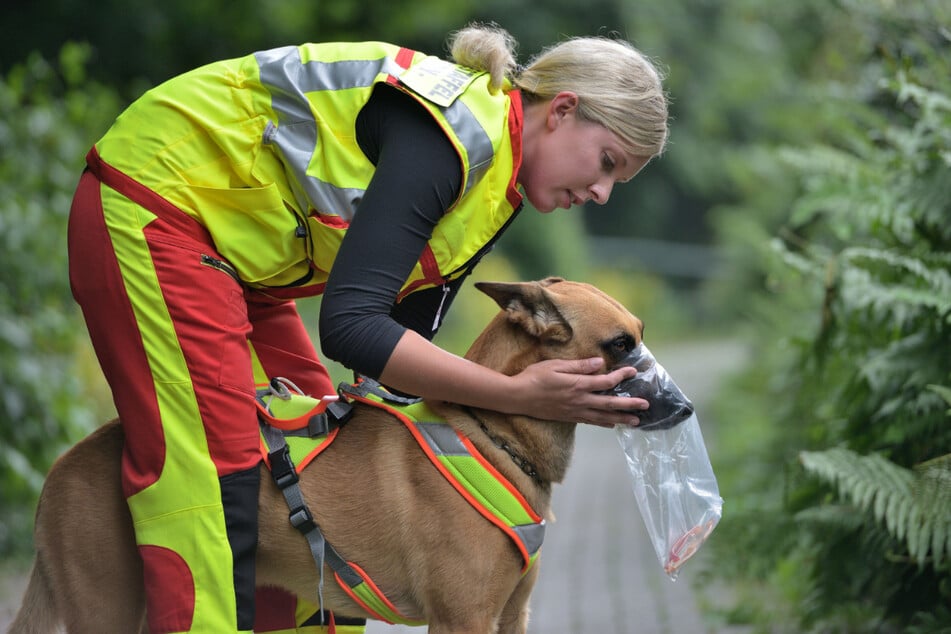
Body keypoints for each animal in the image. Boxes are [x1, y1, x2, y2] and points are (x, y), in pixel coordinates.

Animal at [11, 278, 656, 632]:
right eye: (620, 344)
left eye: (640, 334)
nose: (675, 404)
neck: (486, 430)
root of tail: (60, 467)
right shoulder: (462, 620)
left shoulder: (510, 617)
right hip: (116, 606)